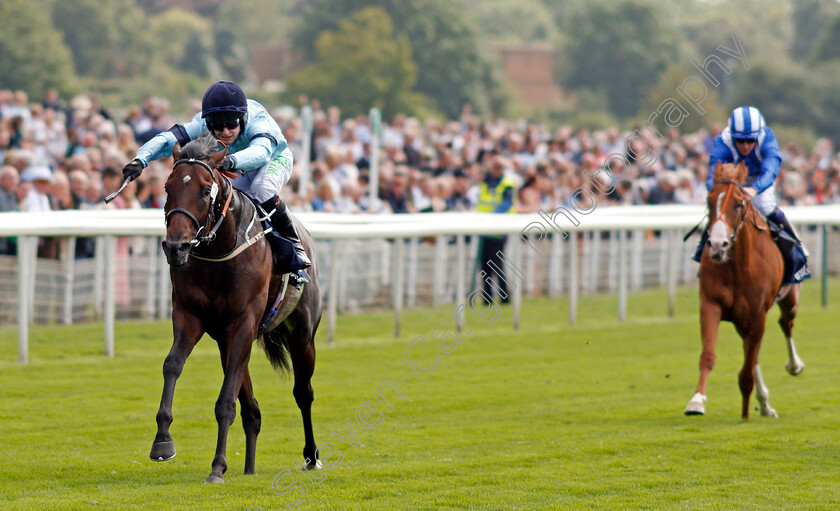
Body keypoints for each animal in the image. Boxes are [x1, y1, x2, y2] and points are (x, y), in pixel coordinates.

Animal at [151, 134, 322, 482]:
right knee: (252, 409)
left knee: (303, 392)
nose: (175, 248)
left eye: (206, 190)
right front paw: (162, 441)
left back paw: (311, 456)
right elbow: (172, 365)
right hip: (226, 341)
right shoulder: (190, 317)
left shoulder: (243, 322)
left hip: (302, 335)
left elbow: (226, 400)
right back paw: (249, 467)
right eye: (167, 187)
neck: (219, 249)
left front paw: (217, 466)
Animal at [684, 164, 804, 420]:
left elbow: (748, 367)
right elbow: (708, 355)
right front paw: (696, 401)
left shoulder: (758, 315)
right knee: (753, 349)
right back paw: (765, 403)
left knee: (785, 323)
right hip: (742, 319)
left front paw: (746, 412)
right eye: (709, 201)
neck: (736, 267)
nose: (717, 245)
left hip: (789, 297)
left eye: (739, 204)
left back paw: (794, 366)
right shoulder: (710, 304)